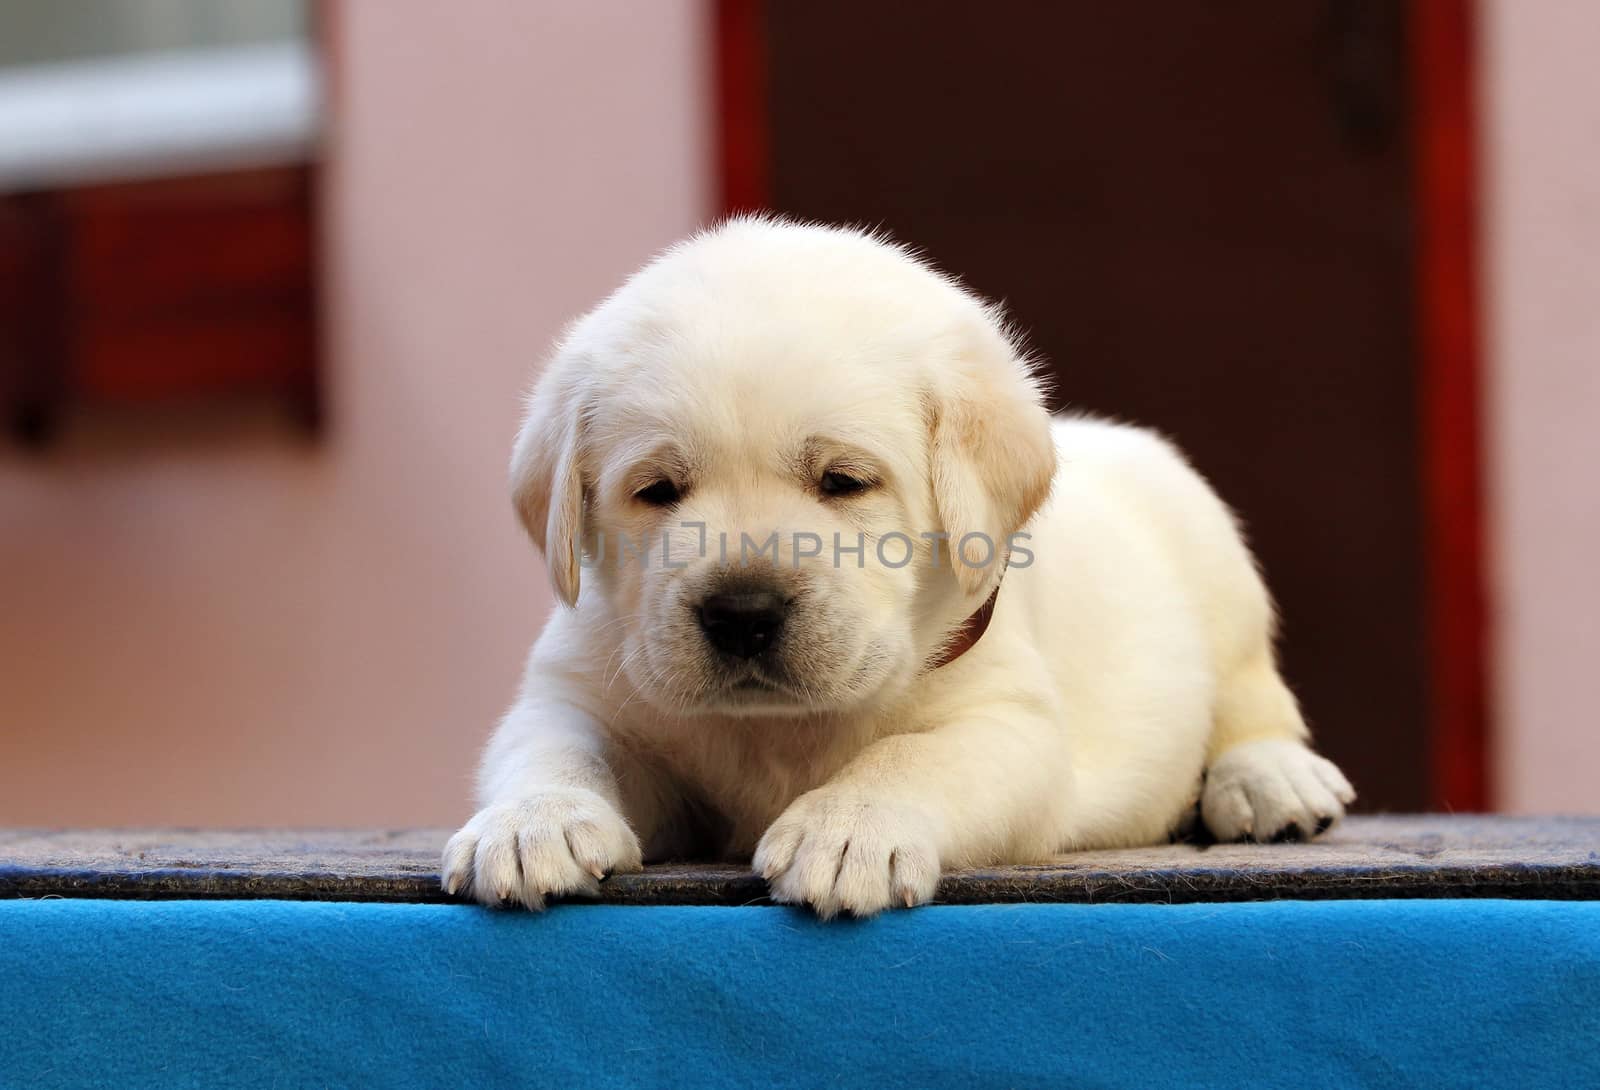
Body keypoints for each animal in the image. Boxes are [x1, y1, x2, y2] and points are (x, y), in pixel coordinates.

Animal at [444, 216, 1356, 915]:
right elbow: (554, 746)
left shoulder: (1009, 722)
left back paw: (1271, 781)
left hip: (1216, 567)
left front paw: (848, 828)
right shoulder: (580, 687)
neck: (778, 731)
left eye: (844, 481)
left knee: (1252, 699)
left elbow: (913, 756)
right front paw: (533, 823)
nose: (742, 613)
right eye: (657, 490)